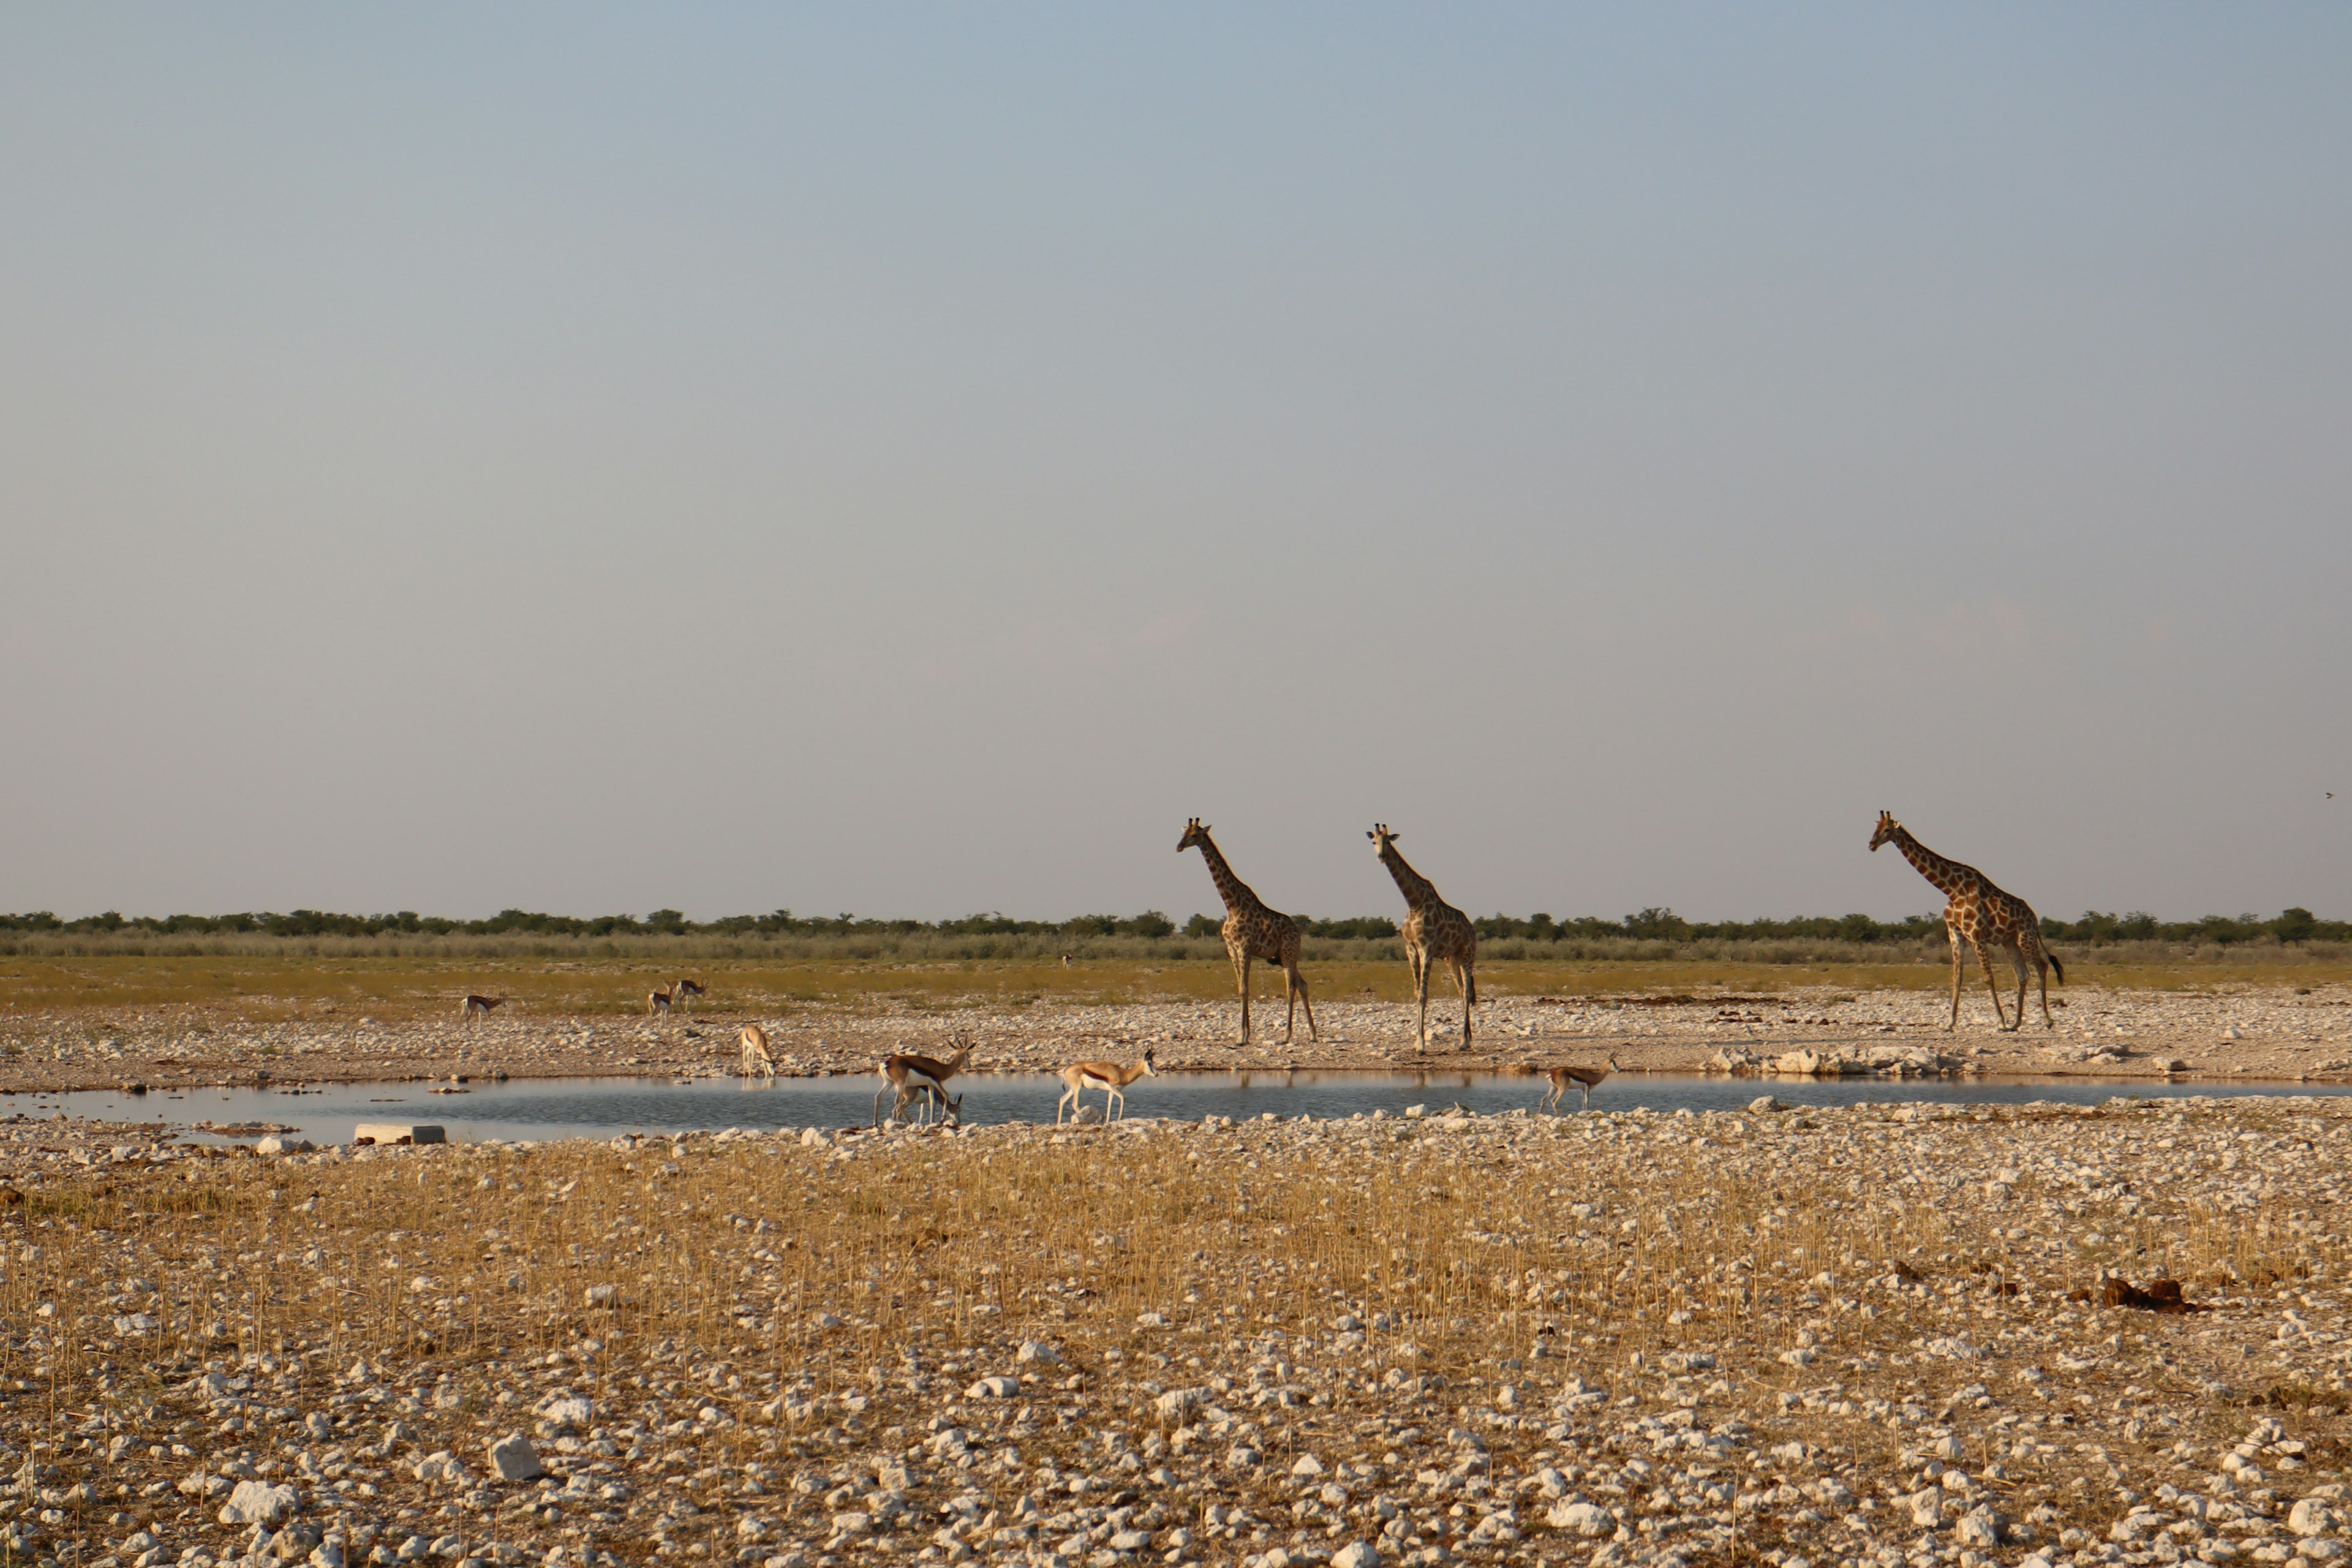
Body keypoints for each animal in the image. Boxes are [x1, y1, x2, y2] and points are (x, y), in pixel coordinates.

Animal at [1185, 818, 1317, 1048]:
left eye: (1194, 835)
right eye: (1184, 833)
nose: (1179, 846)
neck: (1231, 904)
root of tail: (1298, 932)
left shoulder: (1244, 947)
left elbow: (1245, 989)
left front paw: (1243, 1036)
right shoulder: (1231, 949)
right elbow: (1241, 988)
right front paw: (1243, 1035)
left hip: (1289, 954)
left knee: (1291, 987)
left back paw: (1287, 1035)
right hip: (1284, 957)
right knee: (1302, 984)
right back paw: (1312, 1034)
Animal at [1373, 823, 1477, 1053]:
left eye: (1389, 842)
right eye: (1374, 841)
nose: (1381, 856)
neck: (1415, 903)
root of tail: (1472, 928)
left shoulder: (1426, 948)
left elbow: (1423, 994)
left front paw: (1421, 1044)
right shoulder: (1410, 949)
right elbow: (1416, 993)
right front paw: (1416, 1042)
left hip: (1467, 954)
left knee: (1467, 992)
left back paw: (1463, 1042)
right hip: (1451, 958)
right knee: (1461, 991)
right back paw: (1467, 1038)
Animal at [1863, 818, 2070, 1034]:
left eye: (1887, 830)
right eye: (1876, 828)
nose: (1871, 845)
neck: (1952, 889)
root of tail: (2034, 918)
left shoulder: (1977, 935)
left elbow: (1988, 977)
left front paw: (2000, 1021)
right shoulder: (1955, 933)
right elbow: (1957, 977)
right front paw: (1950, 1022)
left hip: (2025, 937)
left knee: (2042, 966)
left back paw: (2046, 1019)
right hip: (2009, 941)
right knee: (2023, 974)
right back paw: (2016, 1023)